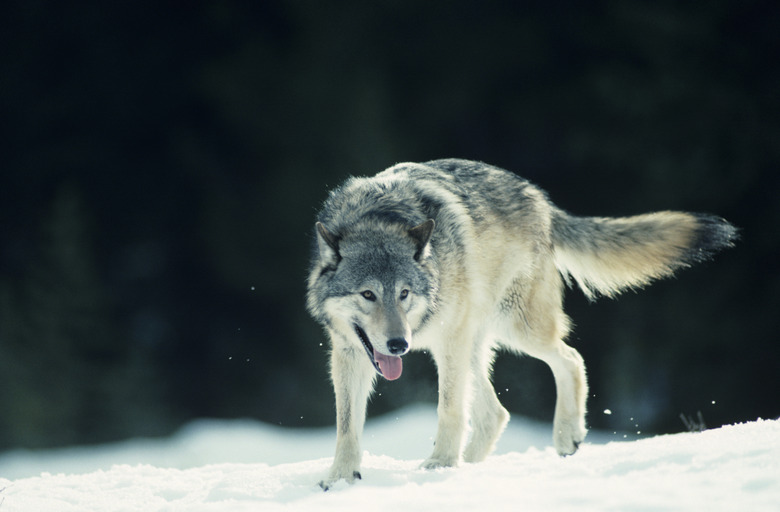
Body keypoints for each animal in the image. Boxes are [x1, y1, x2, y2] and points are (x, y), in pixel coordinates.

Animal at [306, 158, 736, 490]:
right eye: (368, 295)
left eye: (404, 294)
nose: (399, 345)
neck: (377, 218)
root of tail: (539, 199)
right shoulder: (348, 353)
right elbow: (347, 425)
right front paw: (340, 479)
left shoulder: (448, 342)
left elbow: (448, 410)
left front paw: (440, 467)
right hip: (473, 345)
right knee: (496, 413)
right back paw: (476, 465)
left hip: (511, 332)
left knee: (570, 358)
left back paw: (565, 437)